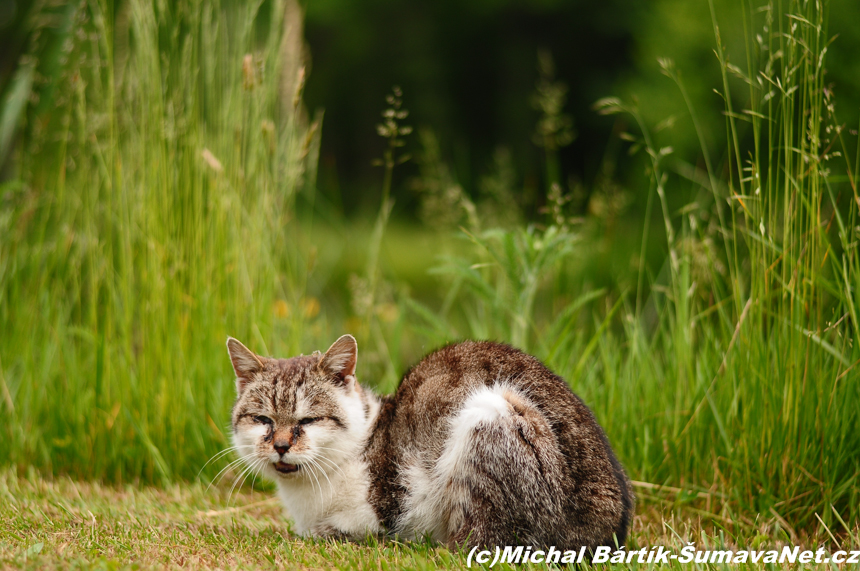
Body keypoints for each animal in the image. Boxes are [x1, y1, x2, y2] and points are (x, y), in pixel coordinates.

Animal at [225, 332, 636, 552]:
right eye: (262, 419)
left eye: (308, 420)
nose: (280, 445)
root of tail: (611, 529)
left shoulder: (383, 512)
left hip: (489, 411)